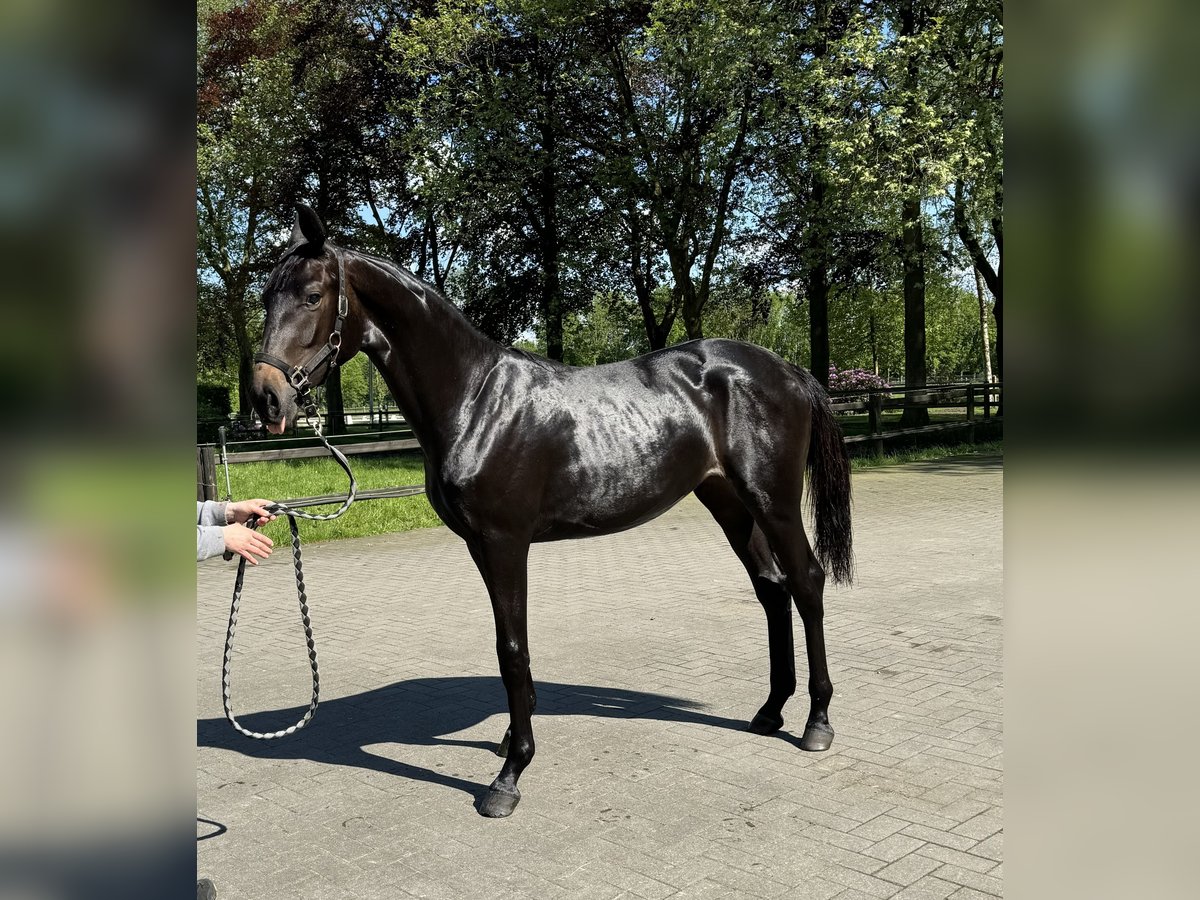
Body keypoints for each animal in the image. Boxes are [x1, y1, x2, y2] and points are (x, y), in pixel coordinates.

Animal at [249, 204, 854, 818]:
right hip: (728, 501)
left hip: (773, 502)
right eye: (267, 296)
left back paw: (817, 721)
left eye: (313, 295)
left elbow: (512, 650)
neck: (474, 399)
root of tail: (788, 370)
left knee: (806, 583)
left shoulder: (504, 541)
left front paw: (509, 775)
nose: (266, 397)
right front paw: (511, 740)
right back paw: (770, 710)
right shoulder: (480, 545)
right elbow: (508, 644)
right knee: (772, 589)